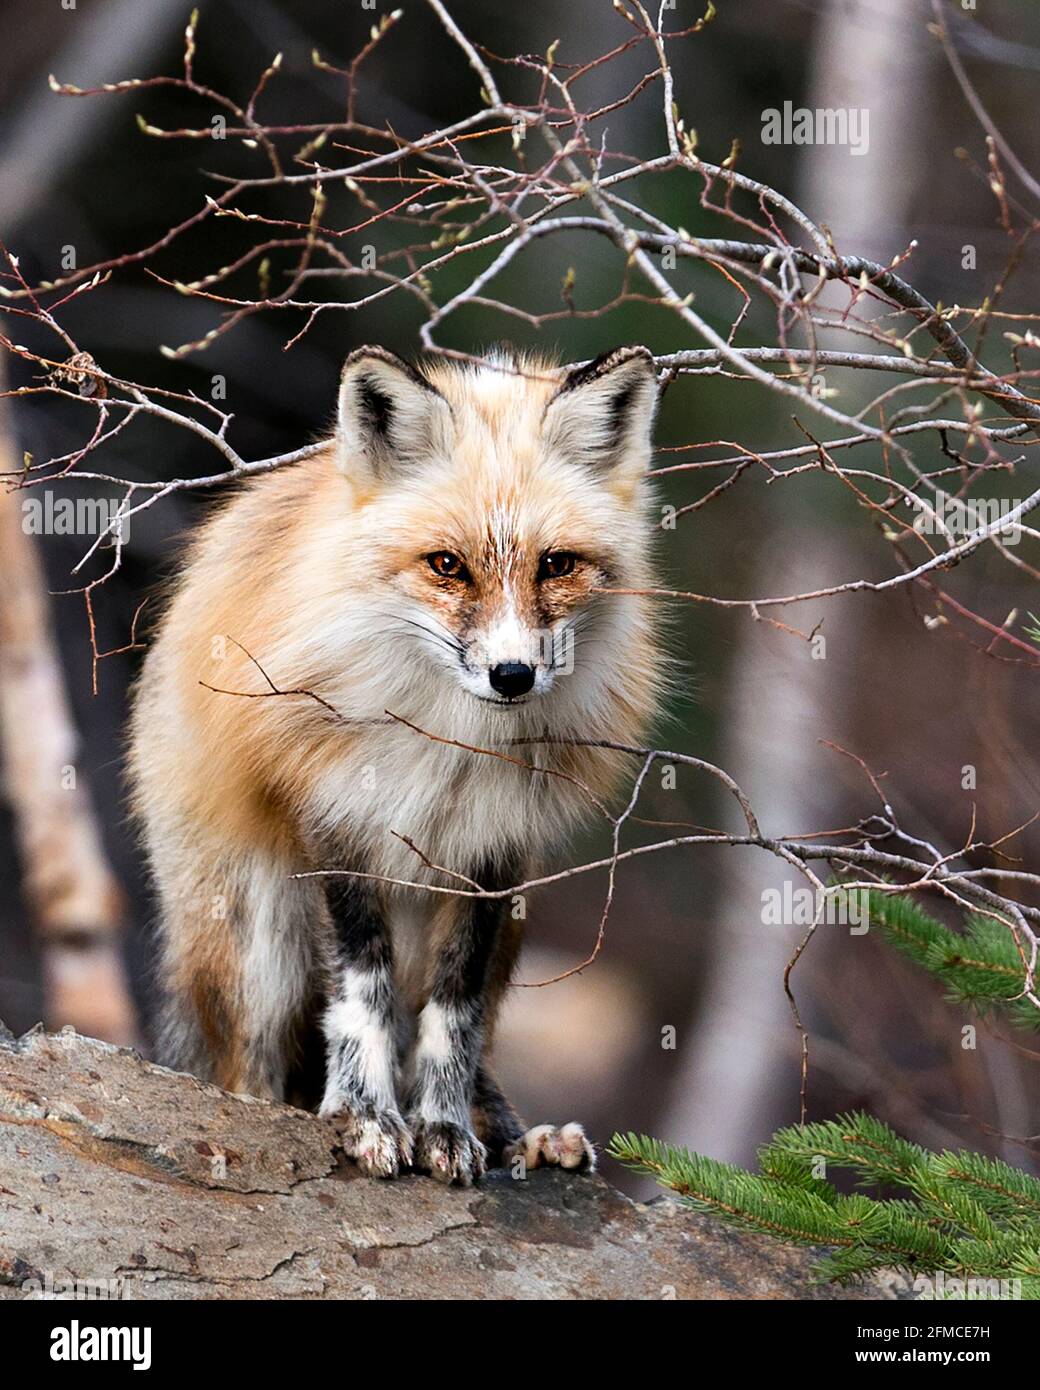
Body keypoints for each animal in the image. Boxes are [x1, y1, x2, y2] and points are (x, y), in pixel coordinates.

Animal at [128, 344, 664, 1184]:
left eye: (557, 565)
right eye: (446, 564)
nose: (512, 675)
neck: (449, 748)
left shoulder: (493, 850)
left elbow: (454, 1011)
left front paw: (445, 1128)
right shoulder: (332, 818)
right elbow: (361, 994)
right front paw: (364, 1116)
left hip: (513, 929)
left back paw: (522, 1139)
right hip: (255, 940)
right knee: (250, 1070)